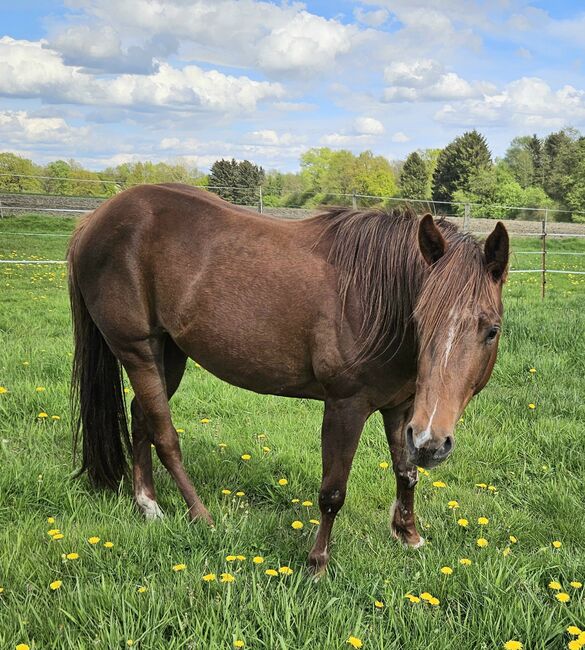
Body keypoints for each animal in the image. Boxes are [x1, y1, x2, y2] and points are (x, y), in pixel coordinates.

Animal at [67, 181, 506, 568]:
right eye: (420, 319)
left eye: (491, 330)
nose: (433, 443)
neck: (374, 297)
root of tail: (95, 219)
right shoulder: (345, 406)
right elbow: (333, 491)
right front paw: (317, 563)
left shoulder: (402, 409)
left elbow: (406, 473)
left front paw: (409, 536)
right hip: (137, 350)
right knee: (165, 435)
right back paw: (200, 515)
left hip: (168, 354)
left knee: (140, 418)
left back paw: (148, 505)